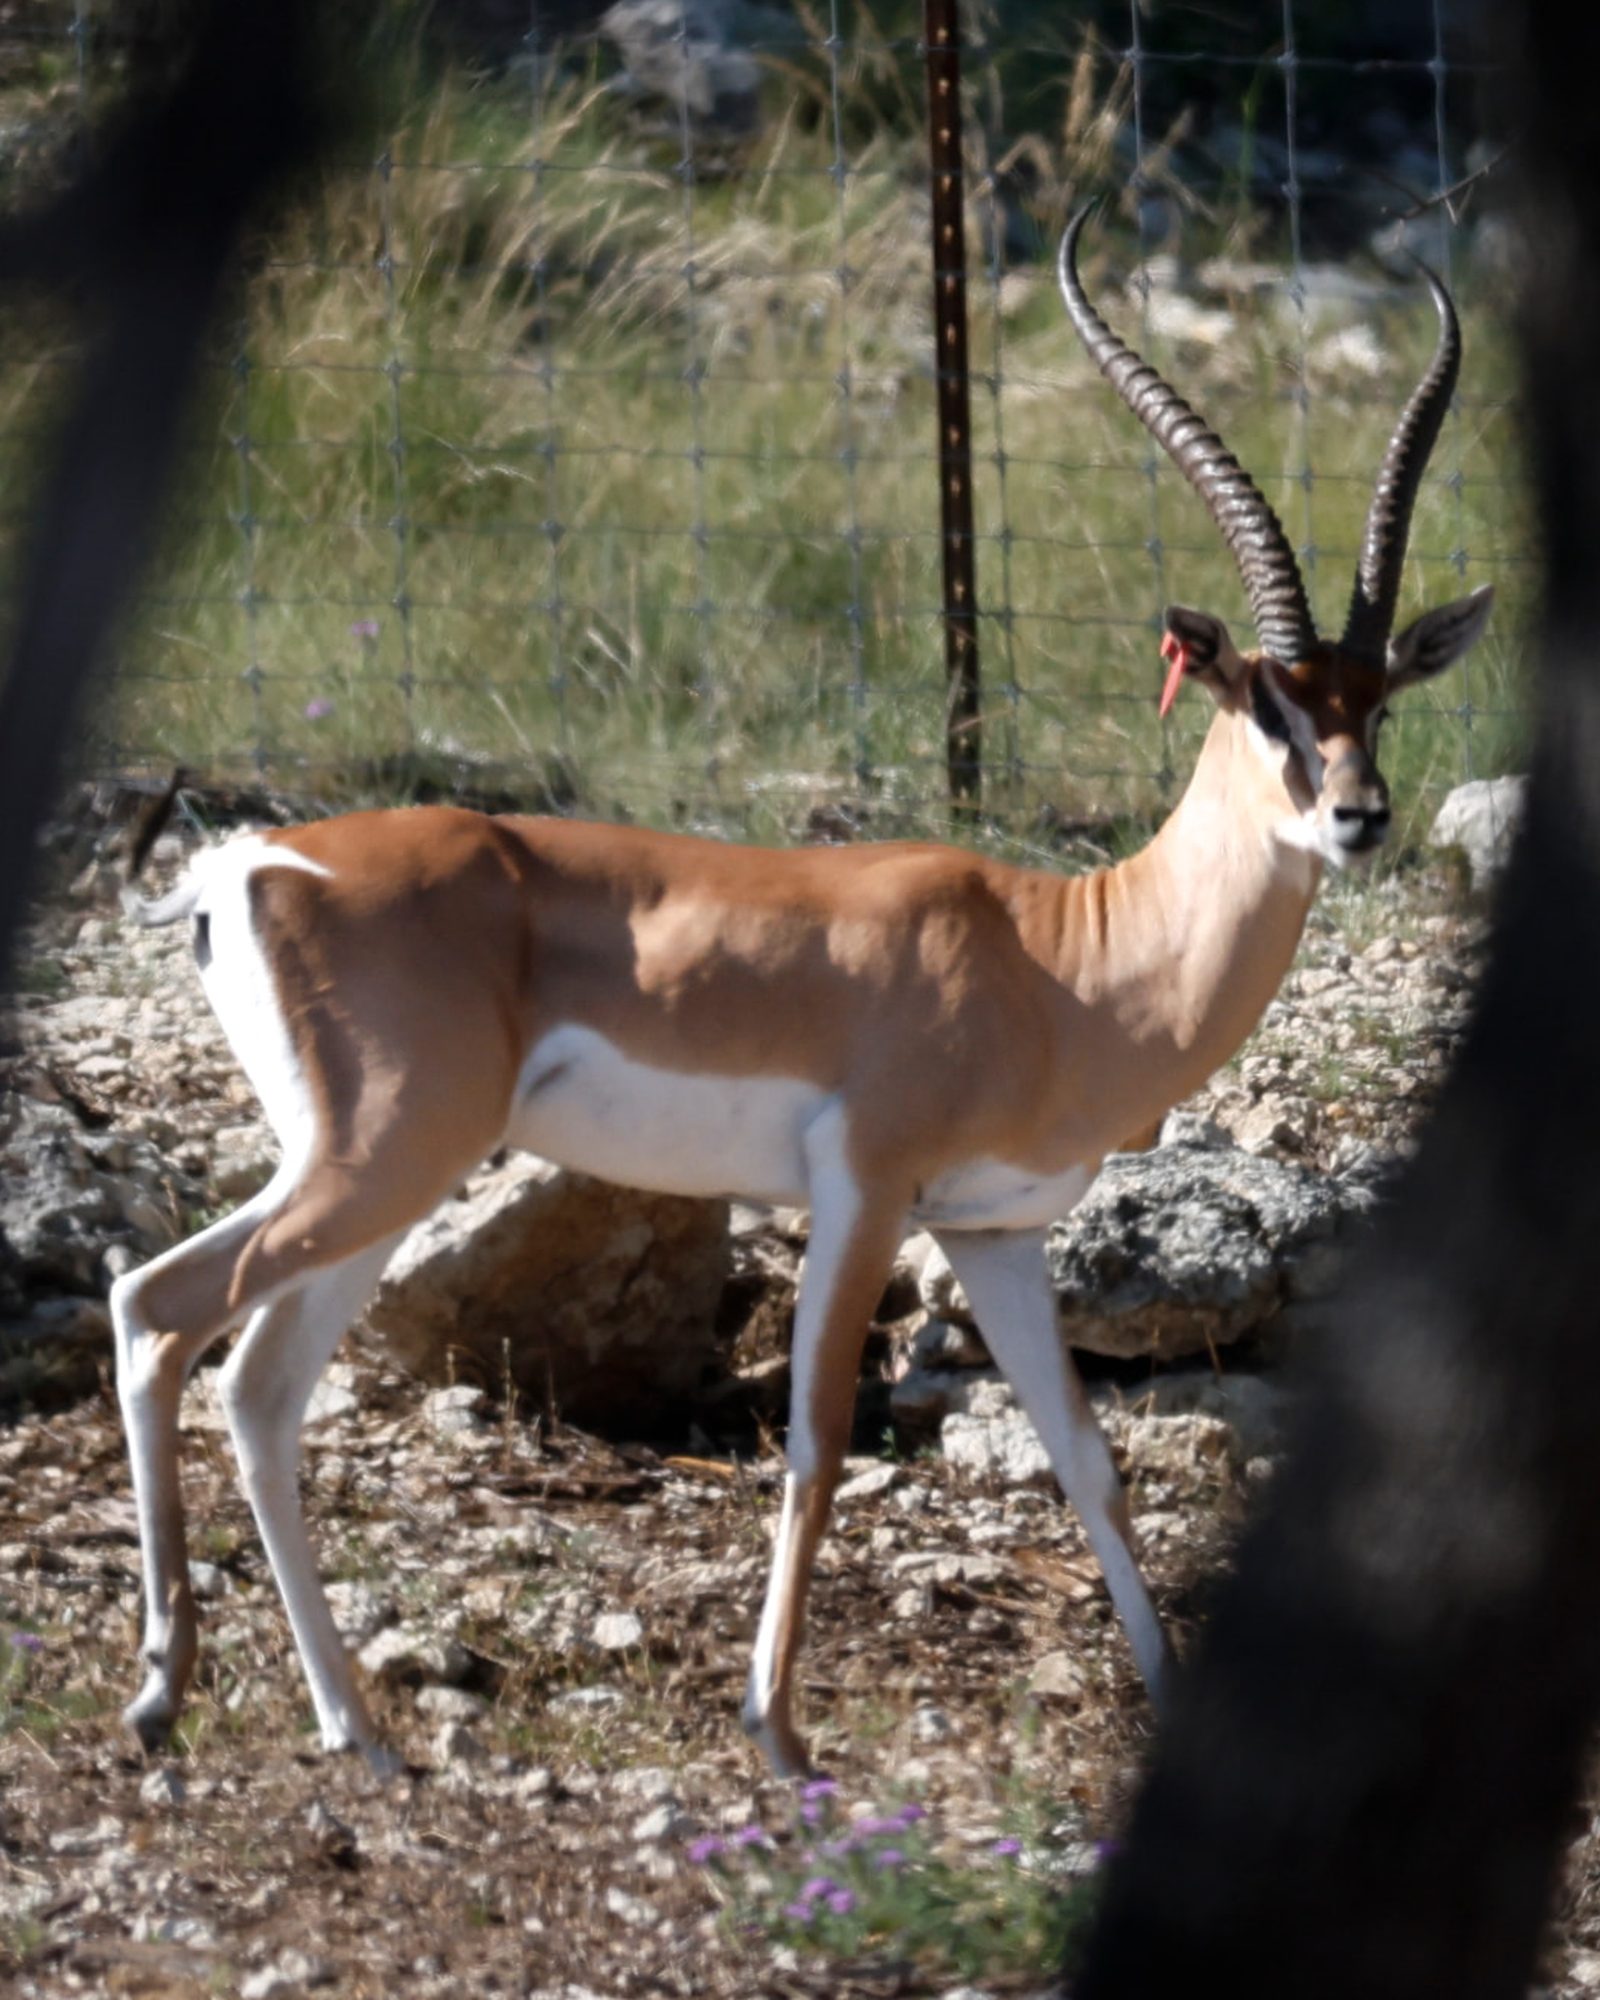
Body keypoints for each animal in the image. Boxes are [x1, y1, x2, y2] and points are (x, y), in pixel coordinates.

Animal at [112, 207, 1491, 1780]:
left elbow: (1088, 1457)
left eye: (1376, 699)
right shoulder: (864, 1192)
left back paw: (353, 1728)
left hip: (369, 1177)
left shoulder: (996, 1232)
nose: (1361, 818)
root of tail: (247, 861)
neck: (1059, 960)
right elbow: (820, 1438)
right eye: (1263, 701)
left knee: (243, 1371)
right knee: (164, 1314)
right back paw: (169, 1695)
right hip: (381, 1160)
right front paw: (775, 1729)